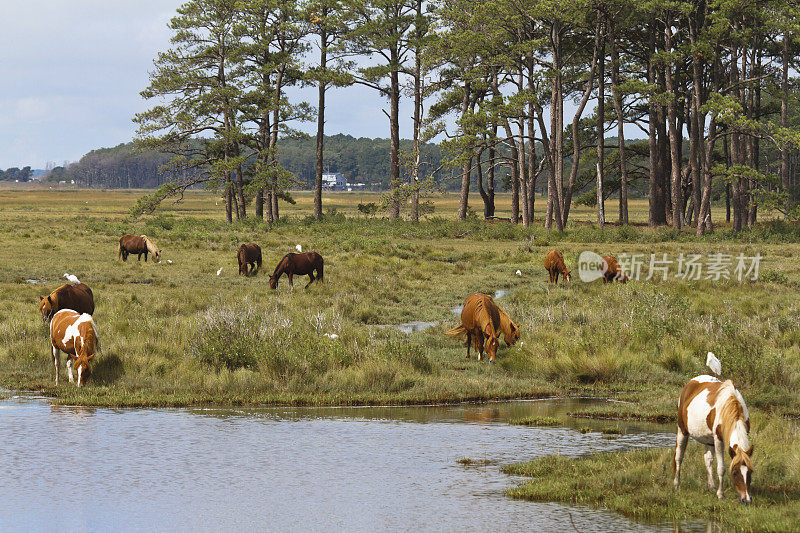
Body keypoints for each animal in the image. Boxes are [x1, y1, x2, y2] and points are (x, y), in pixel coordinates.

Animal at [672, 354, 752, 502]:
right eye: (735, 472)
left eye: (750, 471)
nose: (746, 499)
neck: (731, 406)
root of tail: (691, 382)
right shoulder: (718, 439)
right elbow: (721, 468)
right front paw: (721, 494)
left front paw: (716, 489)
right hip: (682, 431)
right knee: (679, 456)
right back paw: (676, 484)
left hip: (709, 439)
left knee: (707, 459)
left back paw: (711, 485)